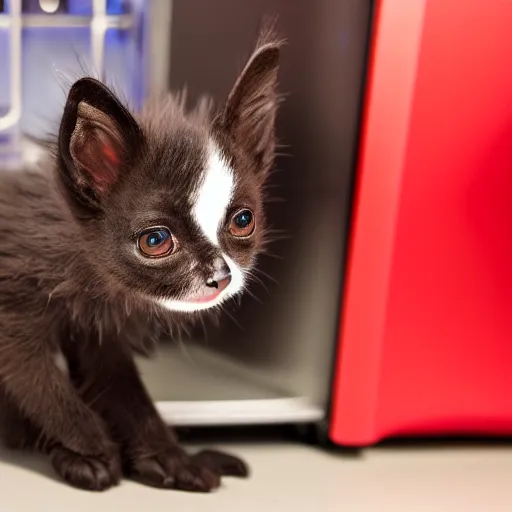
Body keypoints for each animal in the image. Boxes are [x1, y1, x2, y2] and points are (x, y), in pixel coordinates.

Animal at [0, 29, 282, 492]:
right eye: (155, 240)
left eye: (243, 220)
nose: (219, 275)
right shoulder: (13, 303)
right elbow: (37, 380)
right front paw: (93, 449)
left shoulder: (101, 332)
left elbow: (123, 391)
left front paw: (169, 459)